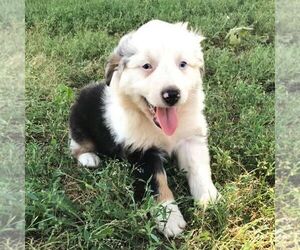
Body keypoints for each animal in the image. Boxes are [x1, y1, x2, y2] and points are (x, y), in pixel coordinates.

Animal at [69, 19, 219, 236]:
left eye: (182, 64)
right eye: (147, 66)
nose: (172, 95)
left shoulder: (191, 138)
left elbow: (198, 167)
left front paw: (208, 197)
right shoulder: (142, 151)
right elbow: (157, 183)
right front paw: (169, 218)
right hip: (78, 120)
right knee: (77, 143)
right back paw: (89, 158)